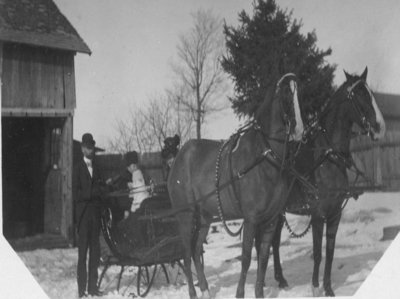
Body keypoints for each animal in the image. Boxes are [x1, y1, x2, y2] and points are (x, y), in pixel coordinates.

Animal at [167, 73, 304, 299]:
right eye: (286, 94)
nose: (300, 129)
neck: (264, 156)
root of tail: (178, 158)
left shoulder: (271, 219)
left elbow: (263, 257)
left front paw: (259, 293)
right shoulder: (251, 219)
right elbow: (247, 258)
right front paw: (240, 293)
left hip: (204, 217)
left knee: (196, 250)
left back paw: (205, 289)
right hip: (185, 216)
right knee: (186, 255)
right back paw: (194, 293)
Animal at [270, 66, 386, 298]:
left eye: (370, 92)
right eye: (360, 95)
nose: (380, 127)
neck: (328, 158)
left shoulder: (335, 215)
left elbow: (330, 252)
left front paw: (329, 288)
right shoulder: (318, 215)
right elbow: (317, 253)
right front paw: (315, 287)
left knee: (276, 240)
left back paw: (282, 280)